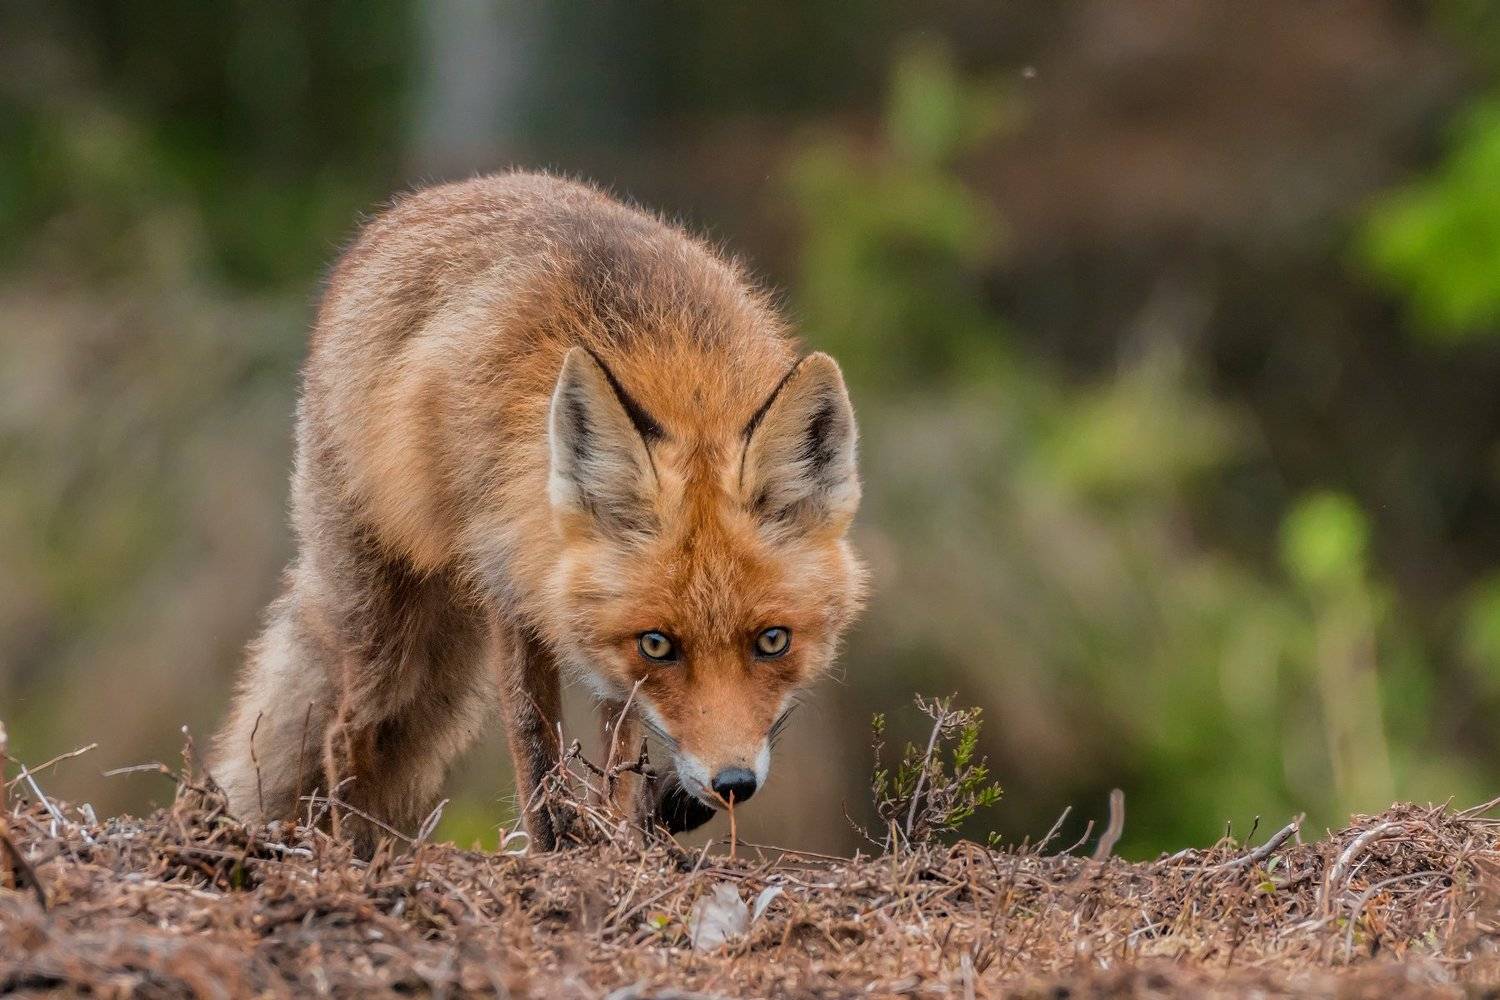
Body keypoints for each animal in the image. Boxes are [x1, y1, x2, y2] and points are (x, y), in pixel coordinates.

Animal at [210, 171, 867, 851]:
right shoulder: (510, 579)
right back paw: (356, 851)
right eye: (659, 645)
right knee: (344, 733)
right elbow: (534, 744)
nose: (732, 783)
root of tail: (434, 195)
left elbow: (620, 754)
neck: (677, 373)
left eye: (773, 640)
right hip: (387, 630)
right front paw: (557, 846)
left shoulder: (605, 650)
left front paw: (621, 834)